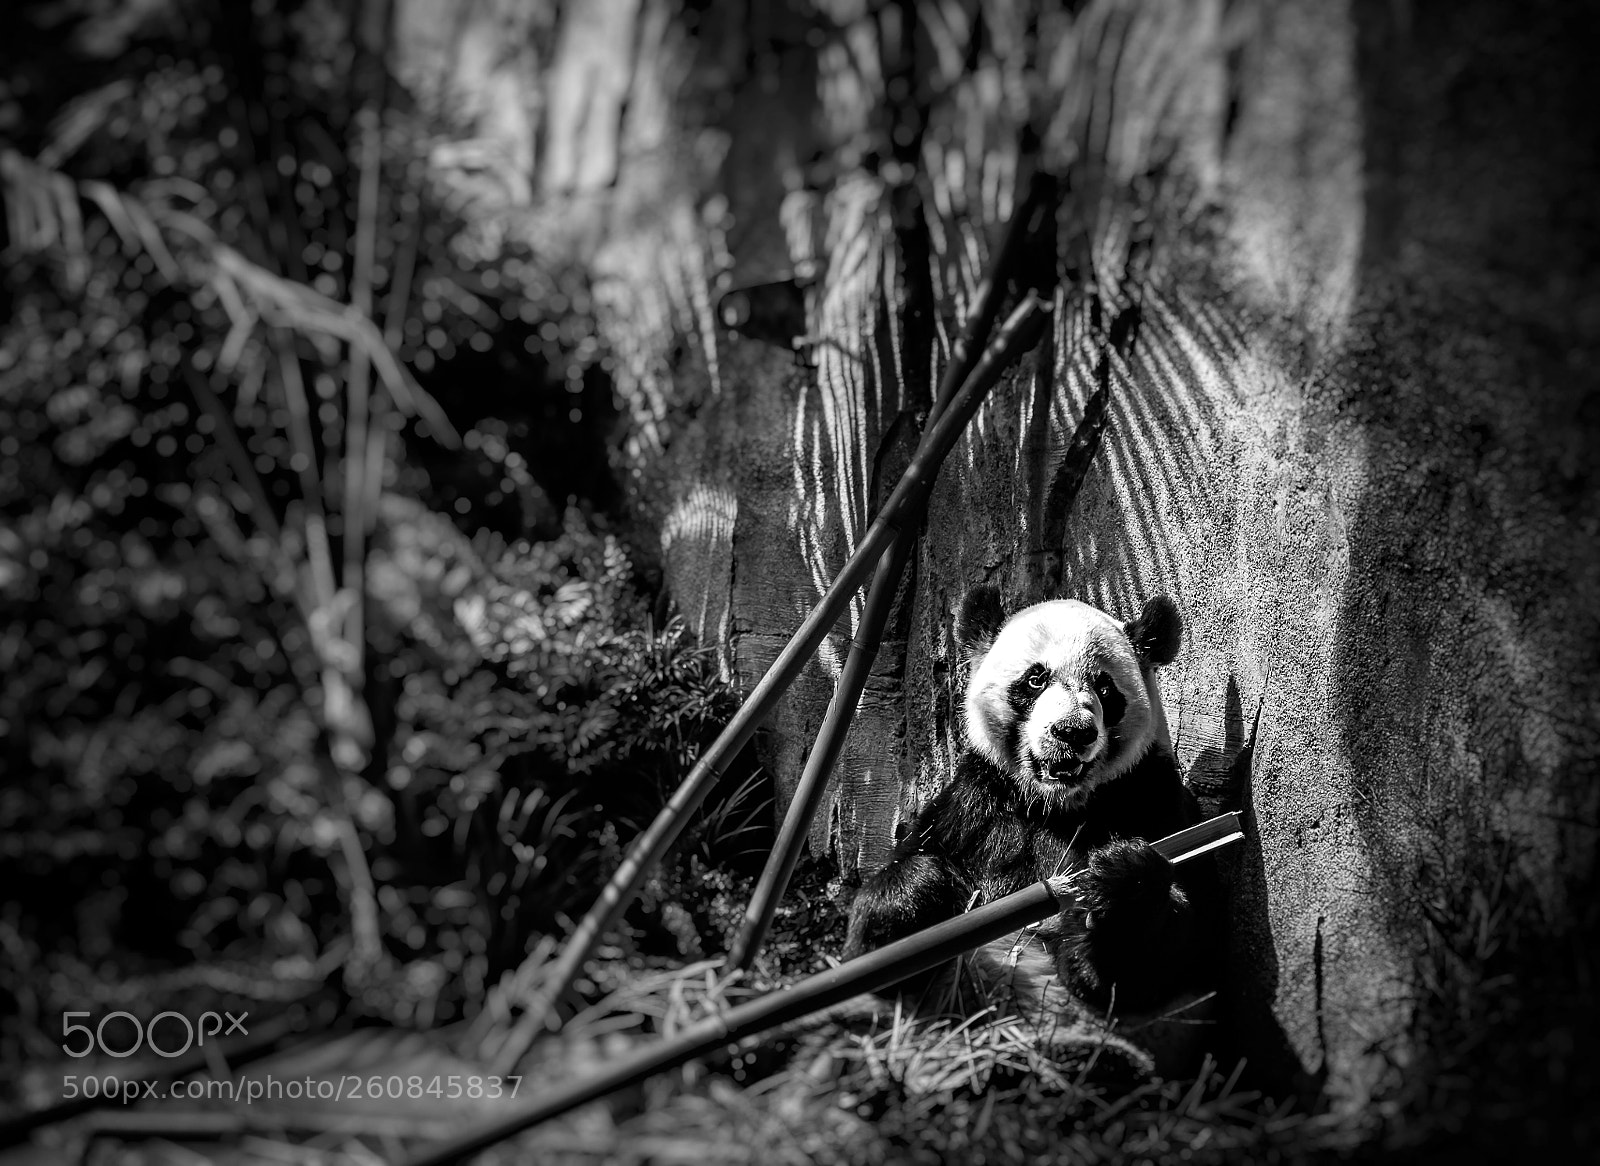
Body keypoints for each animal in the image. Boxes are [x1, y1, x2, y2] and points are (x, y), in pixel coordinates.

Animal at [843, 586, 1218, 1014]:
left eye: (1105, 687)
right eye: (1036, 679)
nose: (1072, 731)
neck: (1054, 804)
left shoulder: (1151, 796)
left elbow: (1168, 958)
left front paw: (1120, 878)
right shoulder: (974, 804)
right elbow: (872, 947)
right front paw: (916, 890)